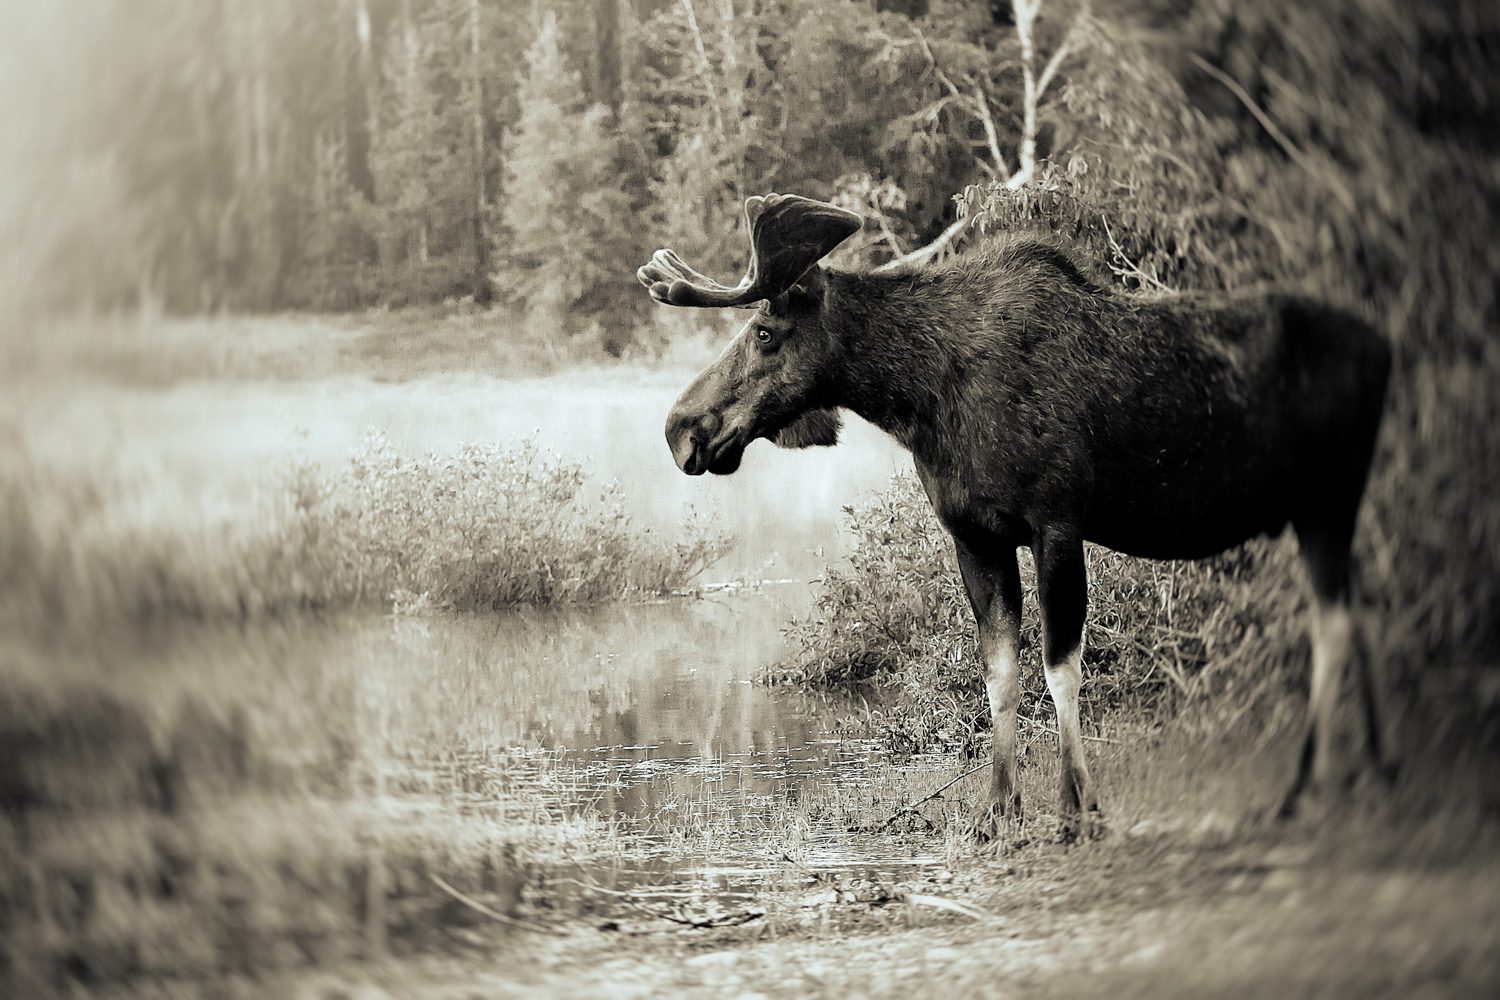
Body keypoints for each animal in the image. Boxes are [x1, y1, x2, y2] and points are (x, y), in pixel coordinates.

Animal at [645, 193, 1392, 839]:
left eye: (765, 332)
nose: (681, 430)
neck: (918, 399)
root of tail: (1388, 351)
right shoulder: (975, 536)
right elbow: (1000, 672)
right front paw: (997, 810)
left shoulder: (1056, 524)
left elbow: (1060, 668)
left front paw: (1077, 806)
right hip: (1324, 508)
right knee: (1354, 612)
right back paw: (1370, 769)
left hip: (1330, 496)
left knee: (1330, 625)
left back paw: (1310, 787)